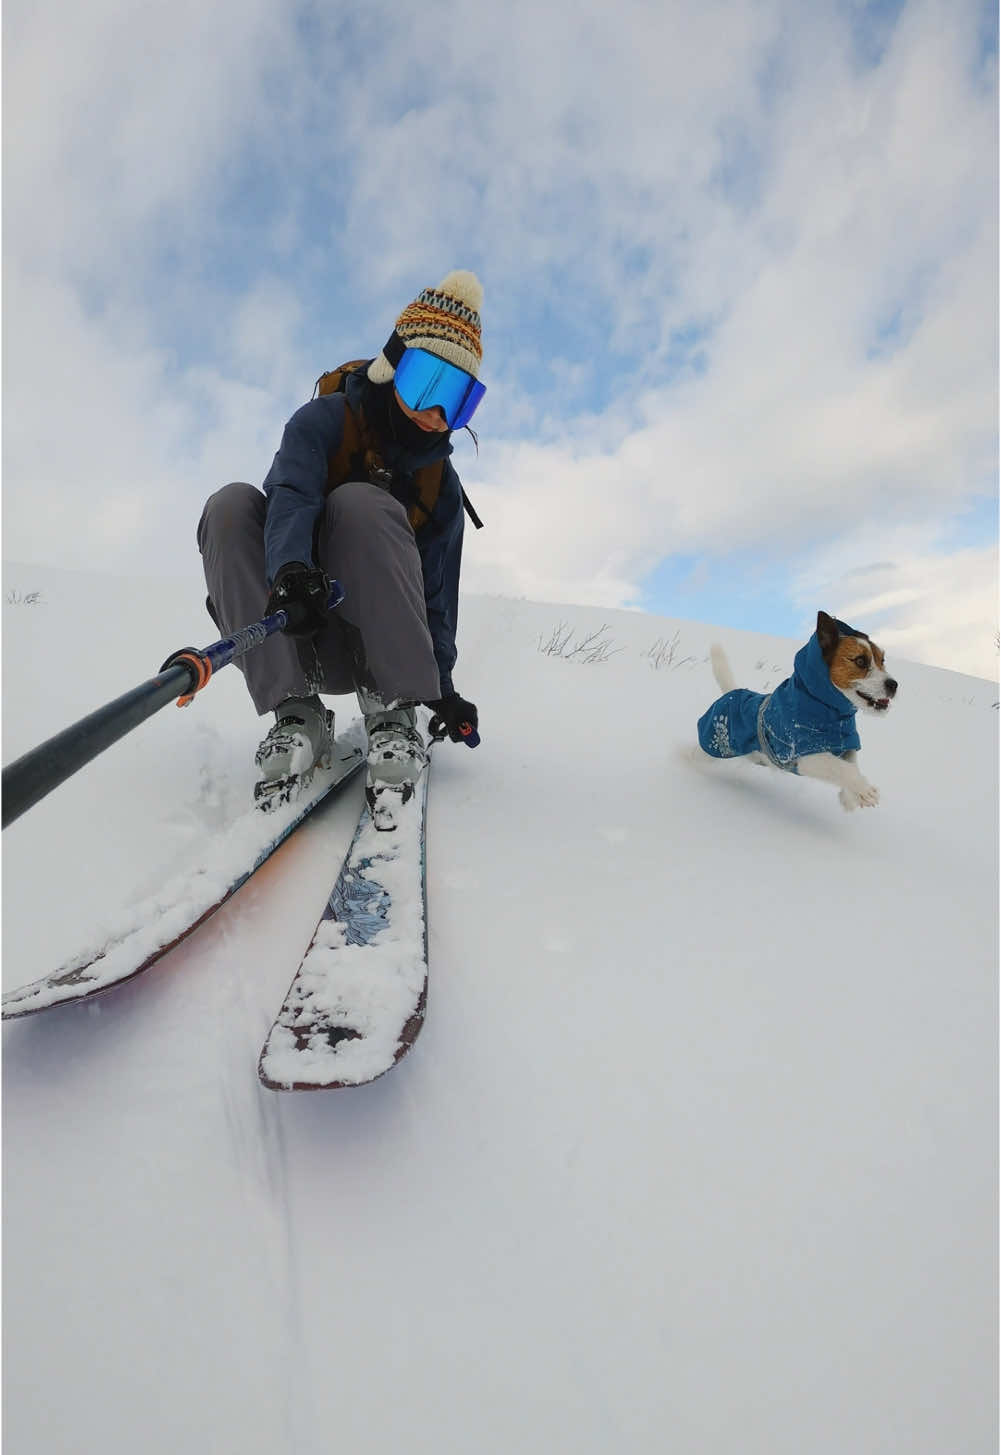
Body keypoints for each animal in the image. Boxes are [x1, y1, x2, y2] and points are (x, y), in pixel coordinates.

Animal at [695, 608, 902, 814]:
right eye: (860, 661)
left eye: (882, 660)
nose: (894, 685)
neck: (831, 712)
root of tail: (731, 693)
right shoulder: (803, 755)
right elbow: (843, 768)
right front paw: (865, 790)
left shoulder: (847, 744)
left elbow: (851, 762)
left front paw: (850, 797)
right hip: (715, 747)